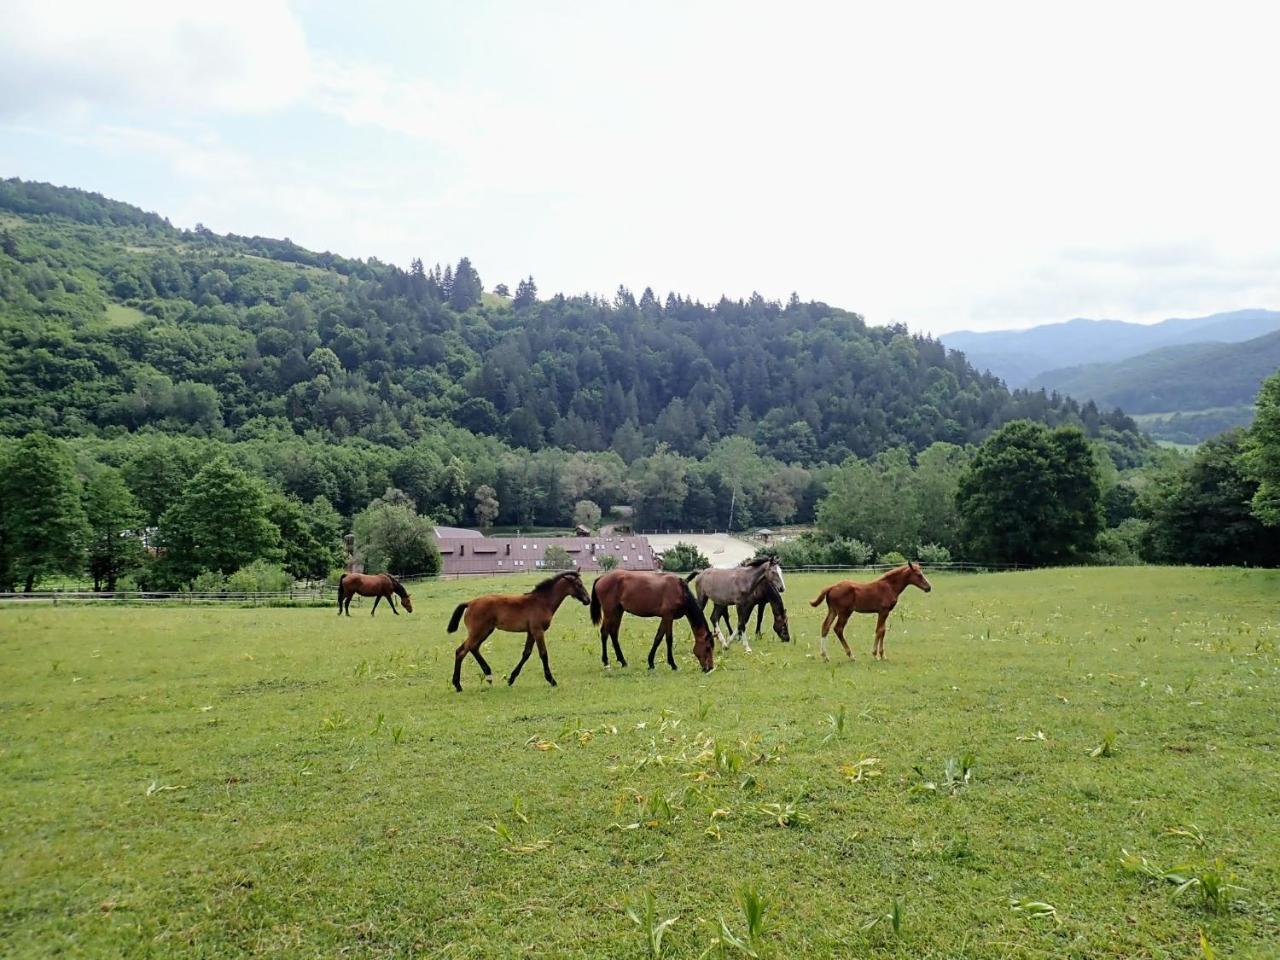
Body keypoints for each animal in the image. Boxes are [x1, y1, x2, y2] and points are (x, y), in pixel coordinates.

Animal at [448, 570, 591, 691]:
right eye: (579, 585)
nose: (588, 600)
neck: (542, 602)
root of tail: (470, 603)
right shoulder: (538, 631)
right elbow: (543, 653)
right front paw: (552, 680)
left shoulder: (531, 632)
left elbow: (526, 653)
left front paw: (511, 679)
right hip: (478, 631)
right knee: (461, 651)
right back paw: (458, 685)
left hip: (485, 631)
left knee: (473, 648)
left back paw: (488, 675)